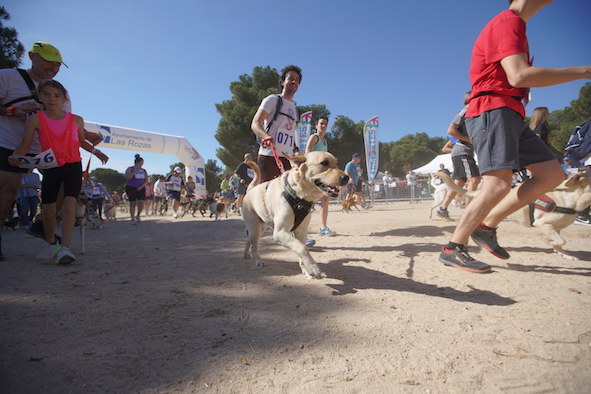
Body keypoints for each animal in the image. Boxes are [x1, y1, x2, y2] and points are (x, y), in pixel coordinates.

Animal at [434, 171, 591, 260]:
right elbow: (562, 240)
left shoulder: (557, 228)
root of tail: (478, 192)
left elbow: (560, 243)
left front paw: (565, 254)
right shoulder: (542, 223)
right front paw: (550, 242)